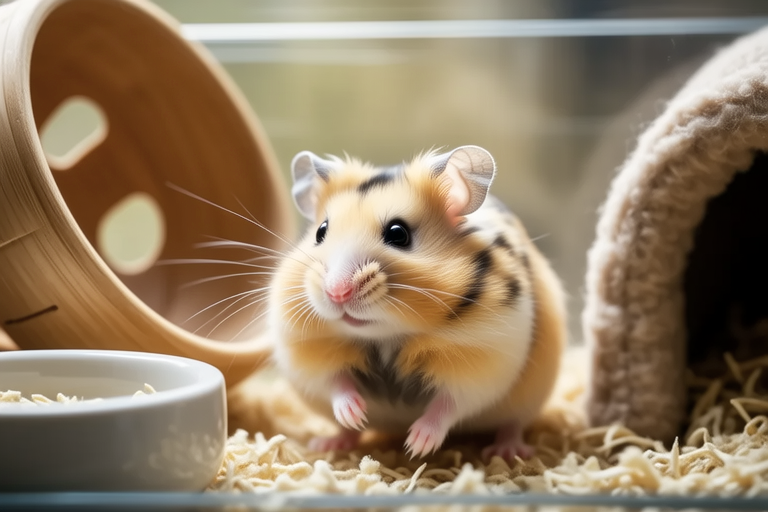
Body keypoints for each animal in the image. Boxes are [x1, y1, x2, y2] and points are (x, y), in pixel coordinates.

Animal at [269, 145, 567, 460]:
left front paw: (416, 445)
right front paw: (355, 414)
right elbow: (334, 384)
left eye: (398, 233)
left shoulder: (483, 363)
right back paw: (329, 442)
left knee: (513, 424)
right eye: (320, 232)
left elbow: (449, 404)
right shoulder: (305, 353)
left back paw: (506, 451)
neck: (387, 336)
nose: (337, 293)